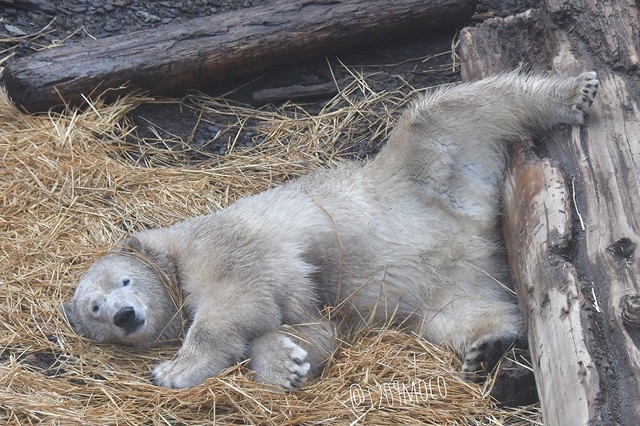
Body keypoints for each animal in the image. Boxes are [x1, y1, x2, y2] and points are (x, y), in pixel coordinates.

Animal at [65, 70, 600, 390]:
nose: (125, 315)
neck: (171, 252)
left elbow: (235, 300)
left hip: (427, 173)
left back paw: (572, 92)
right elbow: (317, 328)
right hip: (445, 289)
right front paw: (288, 362)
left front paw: (175, 369)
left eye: (124, 282)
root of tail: (477, 242)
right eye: (95, 309)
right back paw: (485, 347)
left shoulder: (219, 244)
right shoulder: (312, 297)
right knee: (463, 314)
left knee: (452, 112)